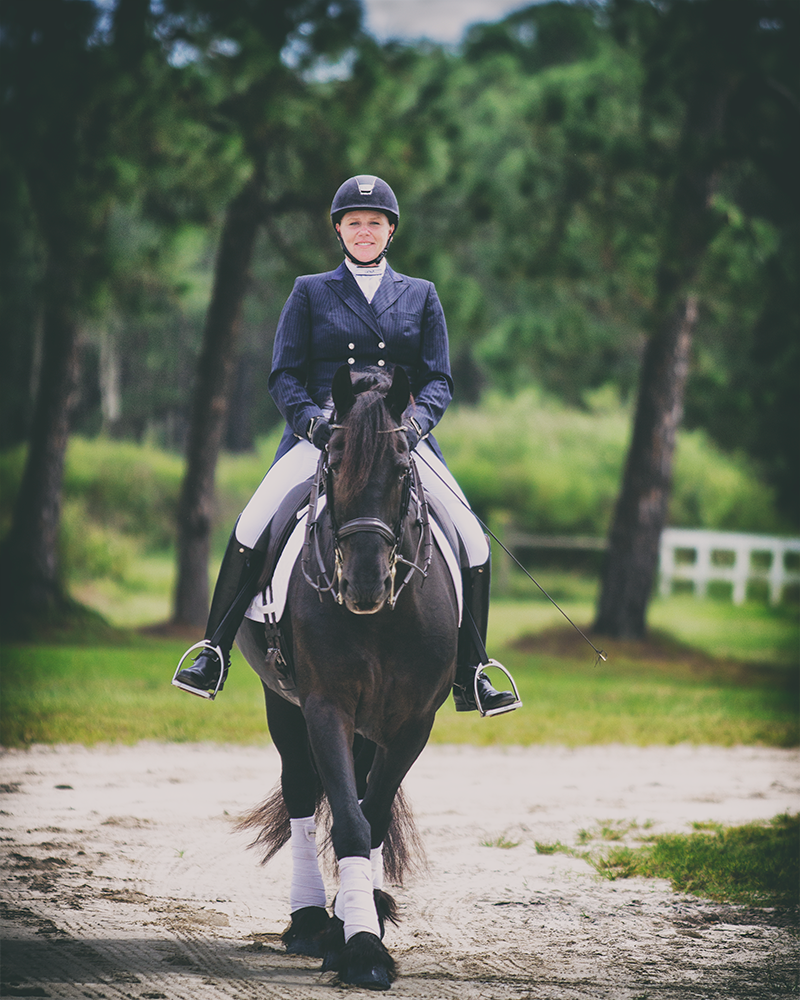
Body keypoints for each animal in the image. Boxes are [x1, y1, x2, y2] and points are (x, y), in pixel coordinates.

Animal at [234, 364, 460, 988]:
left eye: (403, 466)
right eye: (333, 464)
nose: (363, 585)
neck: (383, 619)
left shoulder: (413, 723)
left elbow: (372, 817)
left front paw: (360, 929)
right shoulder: (325, 706)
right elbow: (351, 823)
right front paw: (360, 948)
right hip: (283, 704)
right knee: (300, 791)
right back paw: (311, 920)